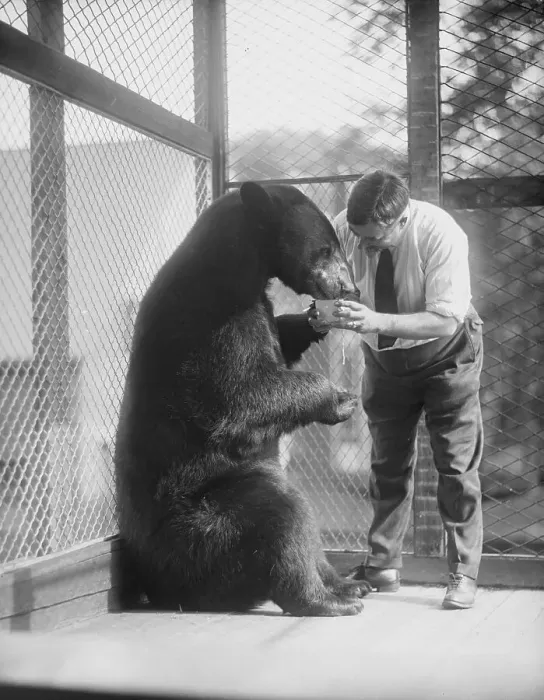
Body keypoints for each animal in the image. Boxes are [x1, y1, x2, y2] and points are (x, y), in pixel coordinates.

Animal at [114, 181, 370, 616]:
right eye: (326, 248)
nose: (348, 287)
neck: (238, 266)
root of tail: (161, 586)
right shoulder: (212, 321)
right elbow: (240, 397)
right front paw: (339, 399)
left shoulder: (254, 307)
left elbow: (280, 339)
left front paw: (313, 321)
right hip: (203, 525)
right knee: (281, 513)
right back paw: (323, 598)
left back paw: (347, 584)